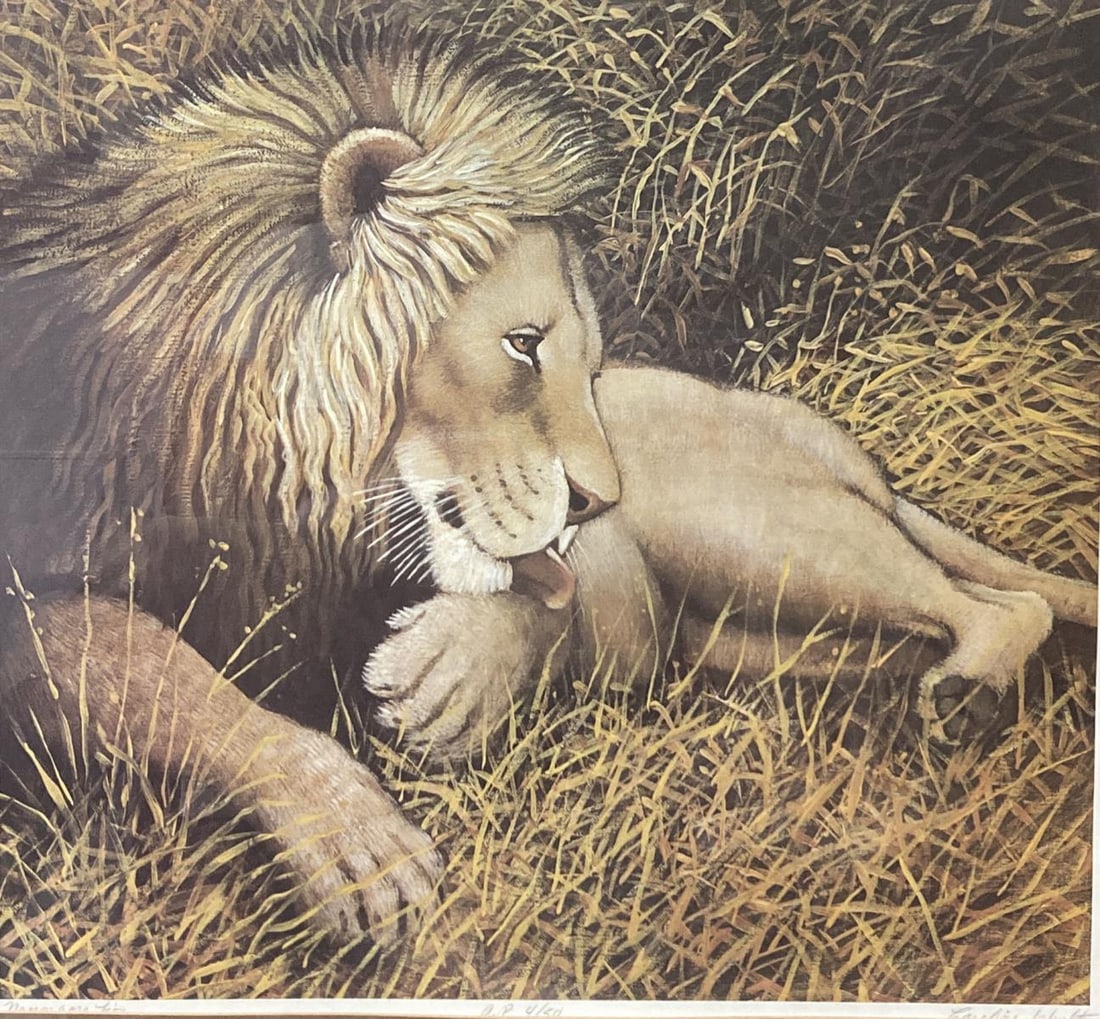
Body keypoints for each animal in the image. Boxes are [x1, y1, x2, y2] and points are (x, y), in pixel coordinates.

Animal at [0, 25, 618, 941]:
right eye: (523, 343)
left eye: (593, 365)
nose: (603, 501)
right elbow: (145, 660)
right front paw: (351, 829)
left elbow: (543, 587)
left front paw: (458, 667)